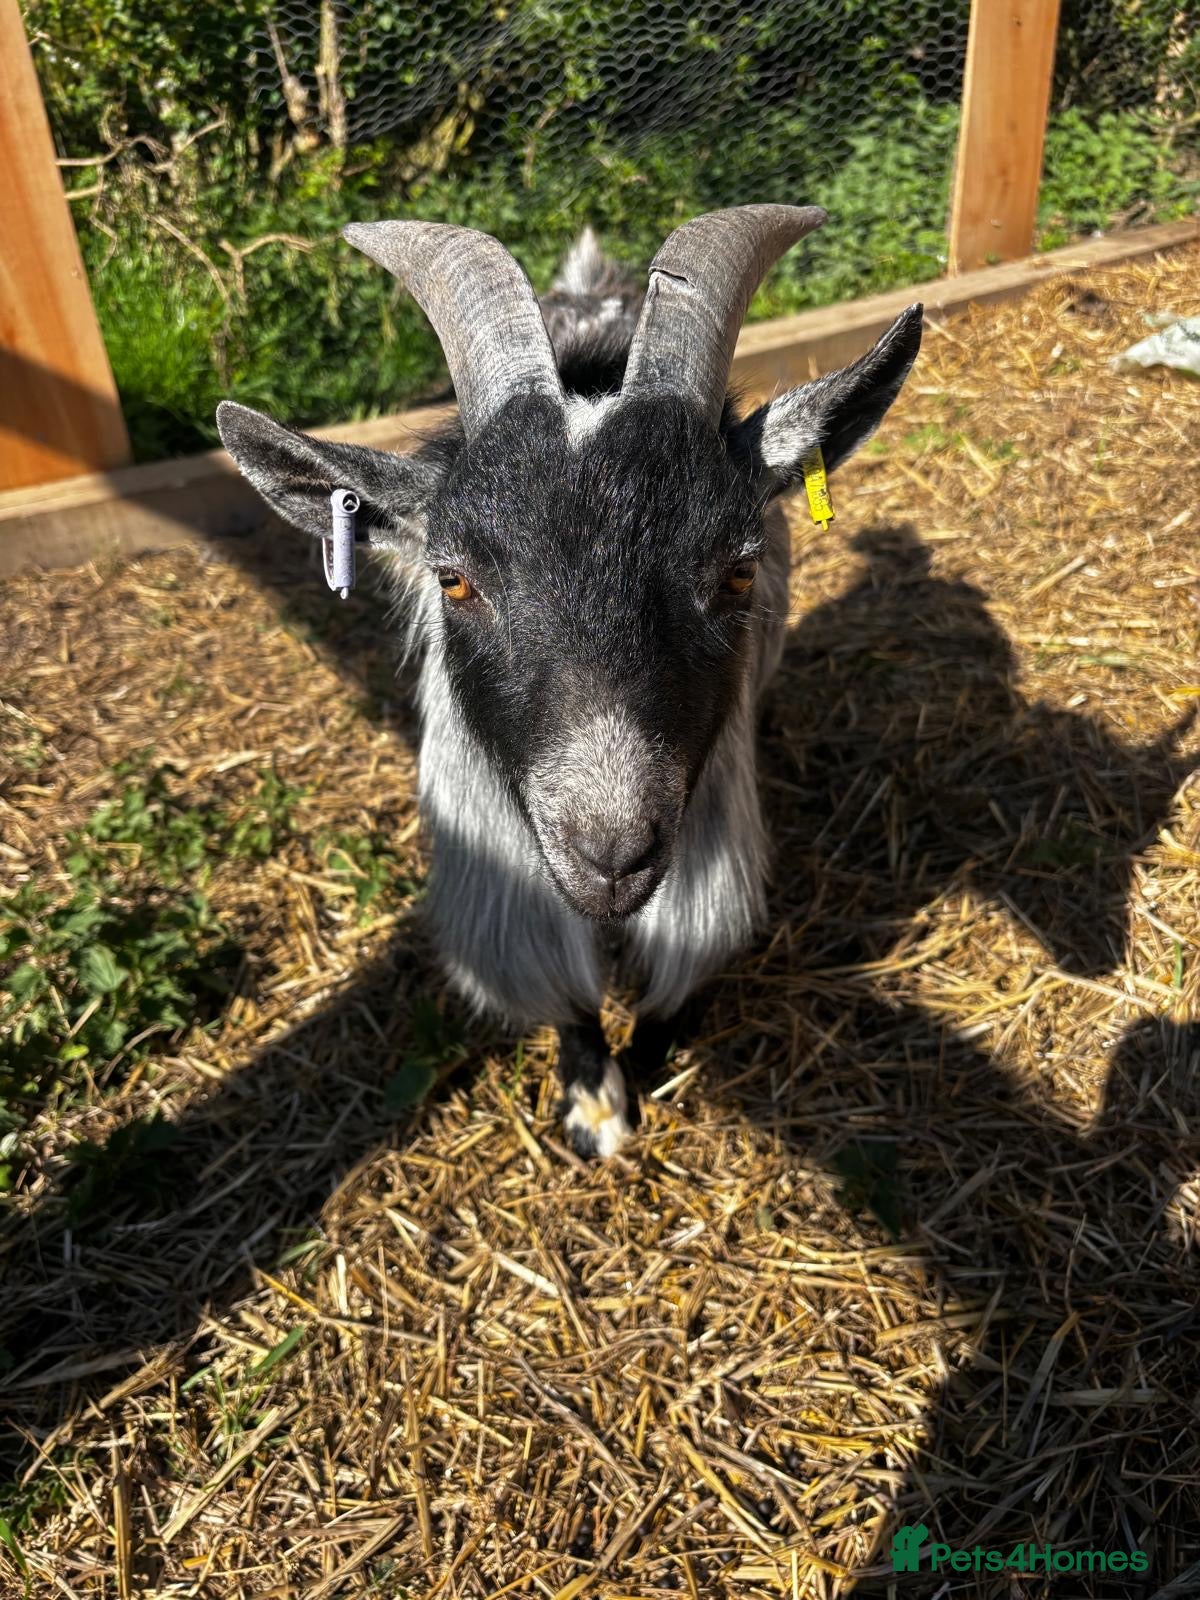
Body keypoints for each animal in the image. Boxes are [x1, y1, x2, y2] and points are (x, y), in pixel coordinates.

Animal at [216, 205, 922, 1158]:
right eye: (454, 579)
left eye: (737, 571)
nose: (611, 852)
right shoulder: (501, 878)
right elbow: (565, 993)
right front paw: (592, 1101)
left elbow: (677, 981)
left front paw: (645, 1069)